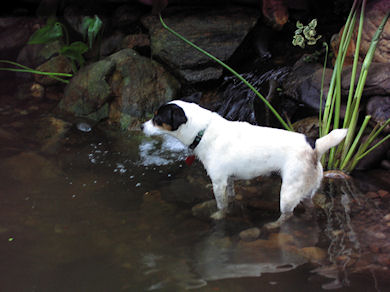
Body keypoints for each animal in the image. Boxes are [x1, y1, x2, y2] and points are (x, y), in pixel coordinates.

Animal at [141, 100, 348, 228]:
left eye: (157, 118)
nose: (141, 127)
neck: (203, 131)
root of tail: (315, 146)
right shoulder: (229, 179)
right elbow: (231, 196)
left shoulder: (219, 182)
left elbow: (221, 206)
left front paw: (219, 217)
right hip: (307, 188)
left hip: (288, 192)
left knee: (287, 215)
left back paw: (273, 225)